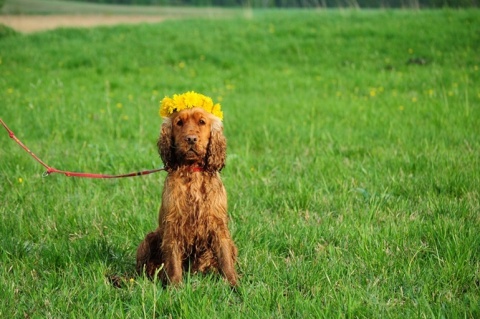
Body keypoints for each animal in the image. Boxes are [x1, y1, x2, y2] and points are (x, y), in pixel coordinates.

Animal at [136, 107, 237, 288]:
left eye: (202, 122)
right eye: (179, 122)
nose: (191, 139)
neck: (192, 170)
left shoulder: (217, 223)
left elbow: (225, 257)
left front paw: (234, 285)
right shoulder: (173, 224)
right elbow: (173, 259)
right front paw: (176, 287)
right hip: (149, 239)